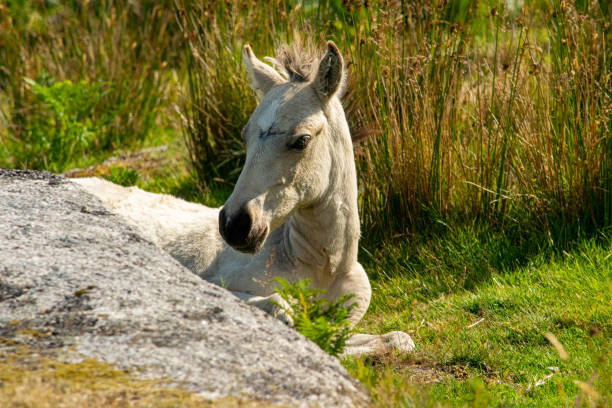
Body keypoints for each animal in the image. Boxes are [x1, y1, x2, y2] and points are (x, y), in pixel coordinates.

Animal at [74, 39, 414, 356]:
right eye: (244, 136)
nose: (235, 225)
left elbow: (398, 340)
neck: (321, 267)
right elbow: (283, 310)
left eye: (302, 140)